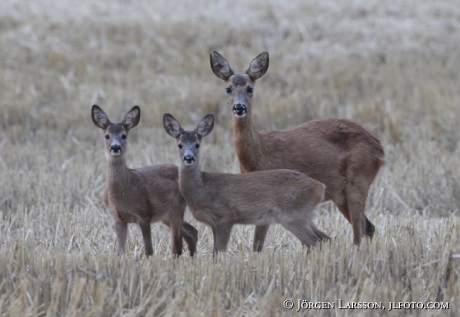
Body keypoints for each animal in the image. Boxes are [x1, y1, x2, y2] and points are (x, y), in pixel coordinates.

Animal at [90, 105, 197, 256]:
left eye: (124, 135)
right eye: (107, 136)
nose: (115, 147)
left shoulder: (144, 214)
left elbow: (149, 250)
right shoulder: (118, 218)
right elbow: (120, 252)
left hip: (177, 208)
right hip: (166, 215)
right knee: (192, 232)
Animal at [164, 112, 328, 258]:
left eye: (197, 145)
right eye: (180, 145)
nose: (188, 158)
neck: (202, 188)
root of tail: (320, 187)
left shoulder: (225, 216)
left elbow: (218, 253)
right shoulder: (213, 223)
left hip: (292, 215)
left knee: (314, 241)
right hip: (305, 215)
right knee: (325, 238)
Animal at [210, 51, 386, 248]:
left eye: (250, 88)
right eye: (228, 89)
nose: (239, 107)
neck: (258, 154)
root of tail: (378, 147)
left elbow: (258, 244)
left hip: (359, 178)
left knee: (359, 232)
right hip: (340, 193)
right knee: (368, 227)